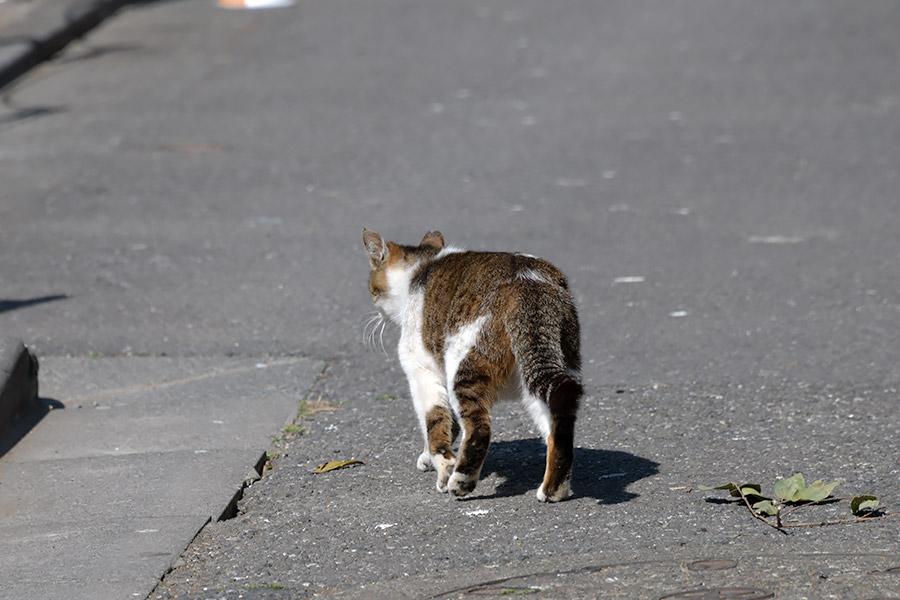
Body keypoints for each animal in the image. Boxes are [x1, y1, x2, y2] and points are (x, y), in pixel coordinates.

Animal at [366, 230, 584, 502]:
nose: (377, 313)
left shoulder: (422, 371)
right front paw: (429, 458)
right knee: (561, 421)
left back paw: (461, 481)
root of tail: (528, 283)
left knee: (480, 428)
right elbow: (449, 425)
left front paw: (444, 469)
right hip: (549, 365)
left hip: (464, 363)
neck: (421, 268)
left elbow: (435, 424)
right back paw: (554, 490)